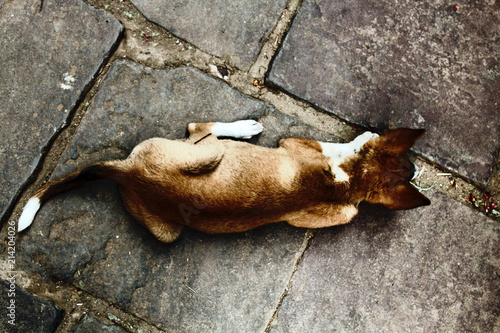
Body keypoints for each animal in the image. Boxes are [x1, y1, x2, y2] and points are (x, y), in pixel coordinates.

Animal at [16, 119, 430, 241]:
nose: (416, 170)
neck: (353, 178)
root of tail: (128, 173)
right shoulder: (296, 144)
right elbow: (337, 145)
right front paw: (358, 138)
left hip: (169, 222)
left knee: (197, 129)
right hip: (208, 153)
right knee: (199, 125)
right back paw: (246, 127)